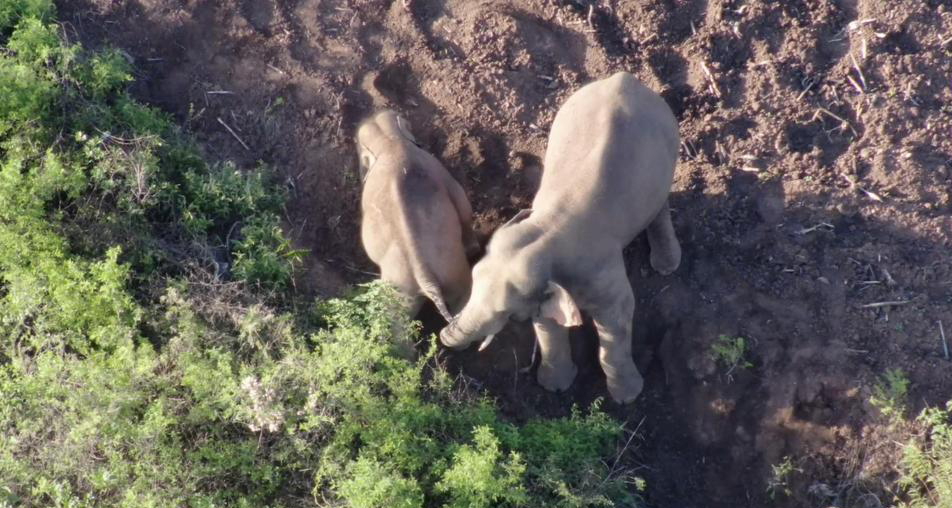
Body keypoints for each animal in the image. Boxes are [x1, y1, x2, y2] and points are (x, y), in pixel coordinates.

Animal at [356, 110, 480, 322]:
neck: (389, 142)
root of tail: (425, 276)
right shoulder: (438, 169)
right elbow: (463, 204)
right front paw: (474, 248)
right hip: (450, 271)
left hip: (404, 292)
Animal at [442, 72, 680, 404]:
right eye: (473, 279)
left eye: (503, 312)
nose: (443, 337)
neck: (544, 232)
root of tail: (625, 78)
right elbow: (547, 324)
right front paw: (554, 387)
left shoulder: (599, 270)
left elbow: (617, 317)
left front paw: (626, 398)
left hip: (668, 147)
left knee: (660, 202)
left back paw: (667, 265)